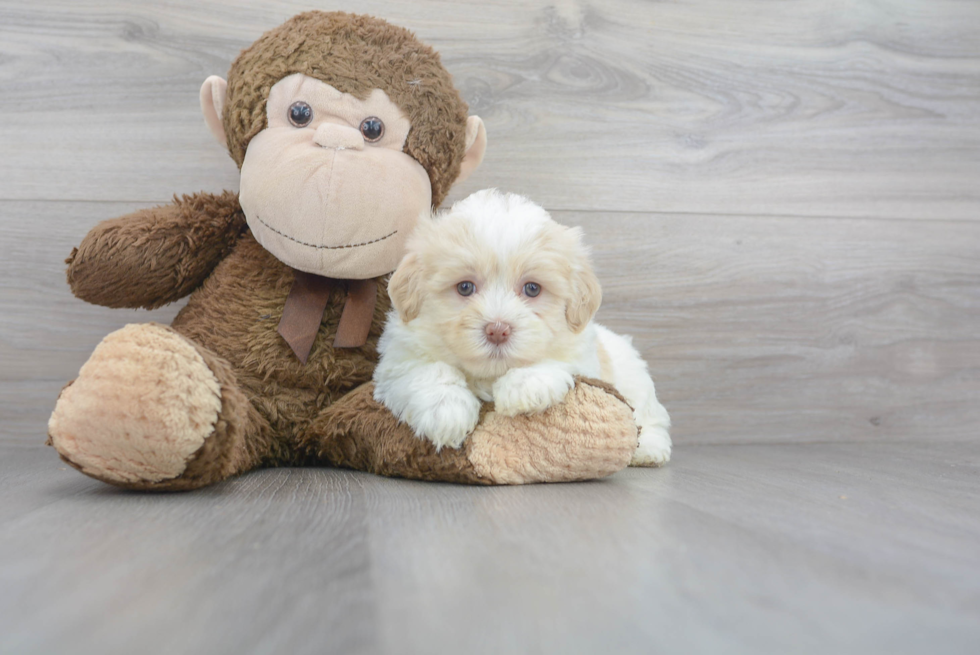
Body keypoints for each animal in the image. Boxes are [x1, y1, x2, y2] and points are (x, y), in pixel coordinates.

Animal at [372, 188, 668, 466]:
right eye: (465, 287)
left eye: (532, 289)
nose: (498, 330)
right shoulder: (399, 359)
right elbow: (428, 371)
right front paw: (446, 410)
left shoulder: (581, 358)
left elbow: (552, 361)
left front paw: (525, 385)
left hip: (636, 383)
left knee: (650, 417)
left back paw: (648, 451)